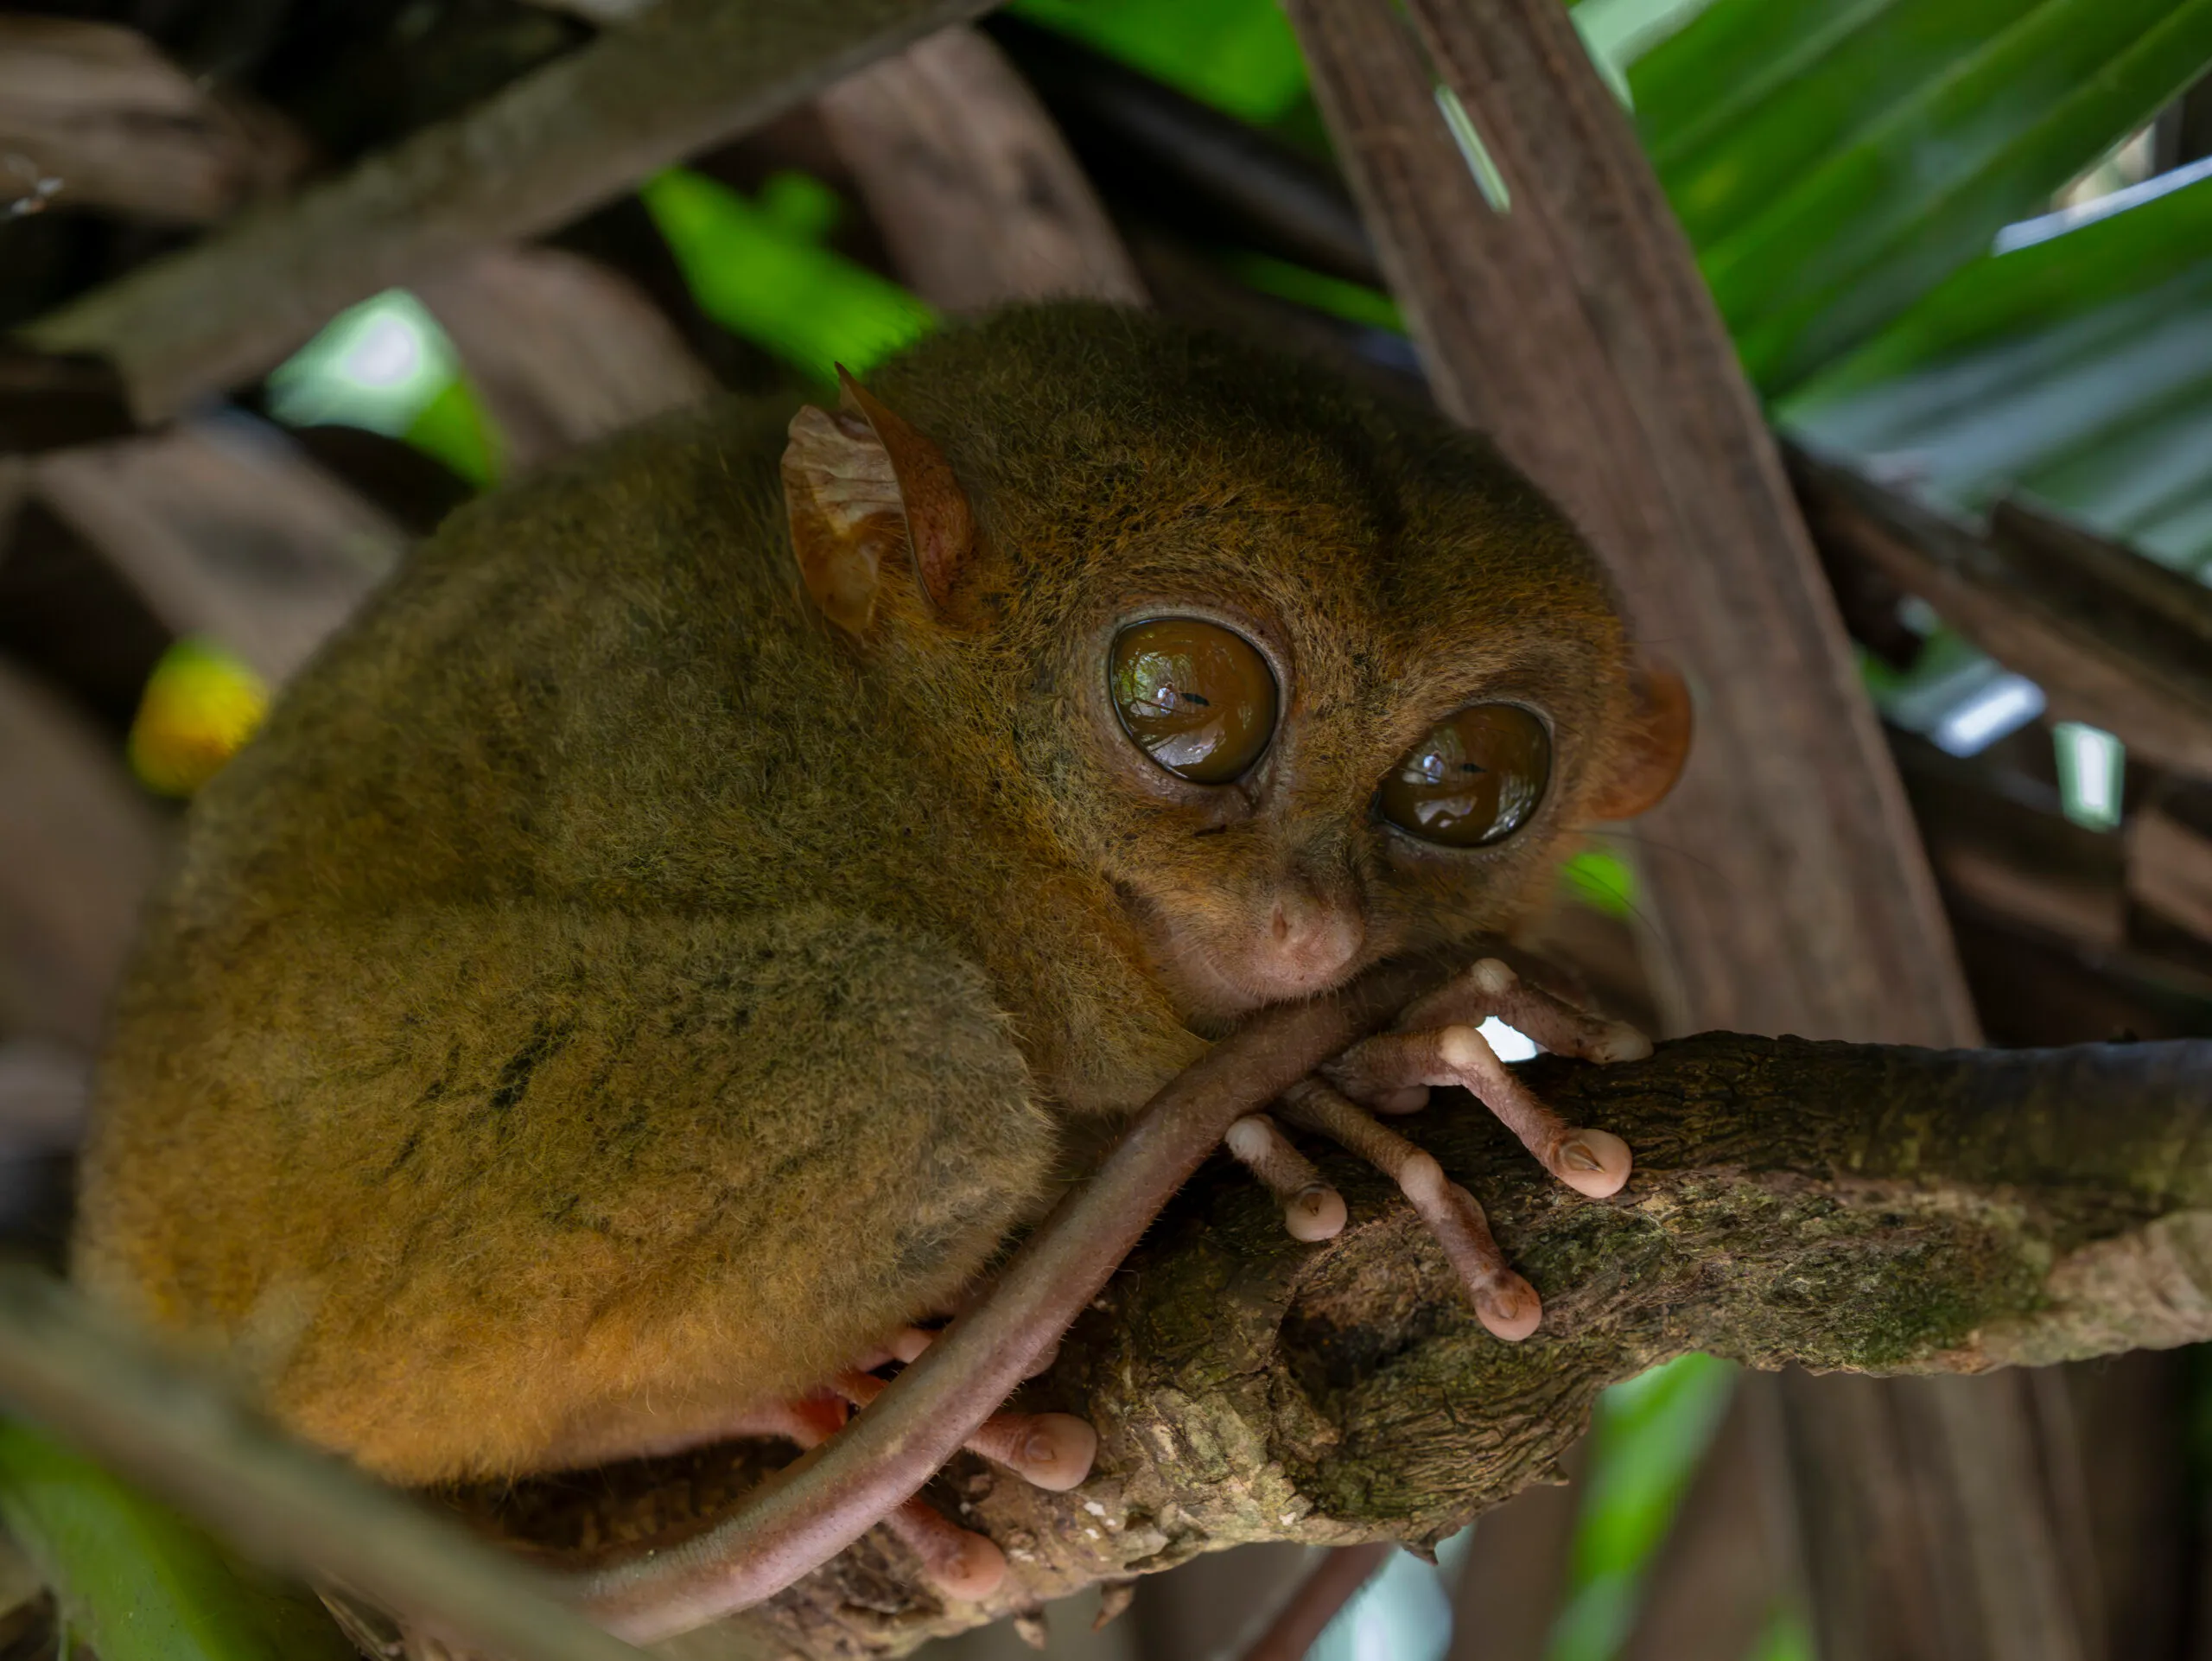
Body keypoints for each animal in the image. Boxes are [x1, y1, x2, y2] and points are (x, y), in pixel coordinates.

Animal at [69, 302, 1688, 1637]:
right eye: (1180, 701)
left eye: (1465, 788)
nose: (1316, 930)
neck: (922, 731)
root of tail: (118, 1280)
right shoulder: (796, 781)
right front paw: (1366, 1075)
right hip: (306, 1192)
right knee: (915, 1053)